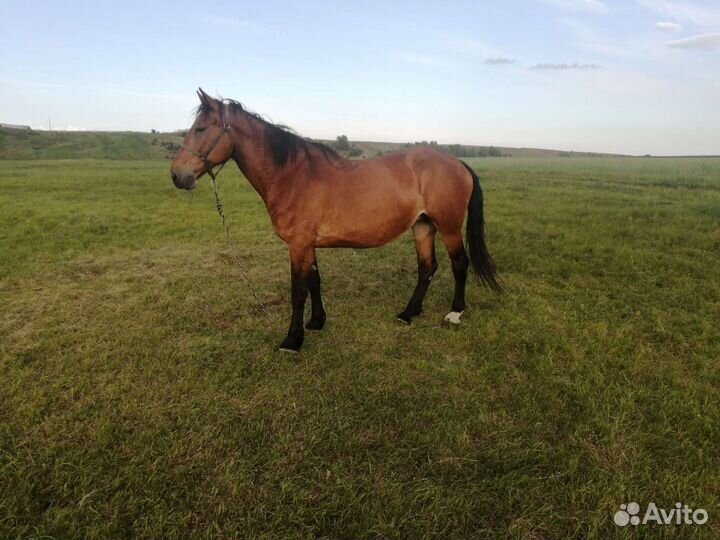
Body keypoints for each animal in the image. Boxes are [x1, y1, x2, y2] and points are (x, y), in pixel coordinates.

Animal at [173, 89, 500, 350]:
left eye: (201, 128)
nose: (177, 175)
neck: (293, 175)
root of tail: (457, 163)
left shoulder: (298, 244)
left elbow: (298, 291)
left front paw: (292, 341)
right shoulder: (307, 244)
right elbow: (314, 281)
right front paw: (317, 322)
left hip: (448, 227)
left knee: (460, 264)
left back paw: (454, 313)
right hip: (422, 226)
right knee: (427, 268)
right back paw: (408, 314)